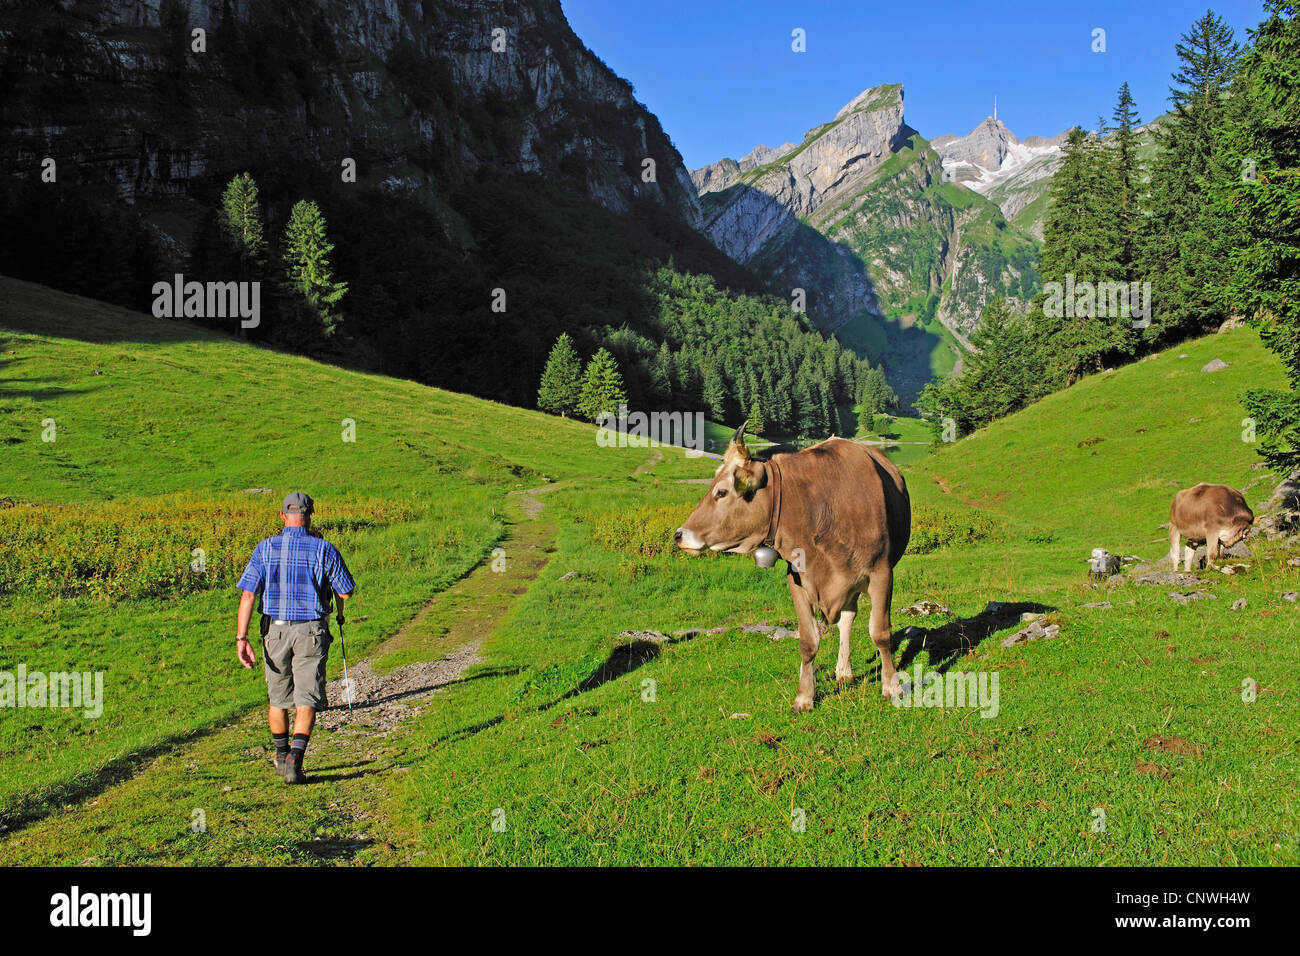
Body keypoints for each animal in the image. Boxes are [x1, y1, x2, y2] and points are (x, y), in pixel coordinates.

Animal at [676, 424, 909, 712]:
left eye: (721, 492)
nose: (678, 535)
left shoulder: (882, 573)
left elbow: (881, 633)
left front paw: (892, 687)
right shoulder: (797, 579)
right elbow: (808, 641)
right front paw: (804, 696)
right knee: (846, 619)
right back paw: (843, 671)